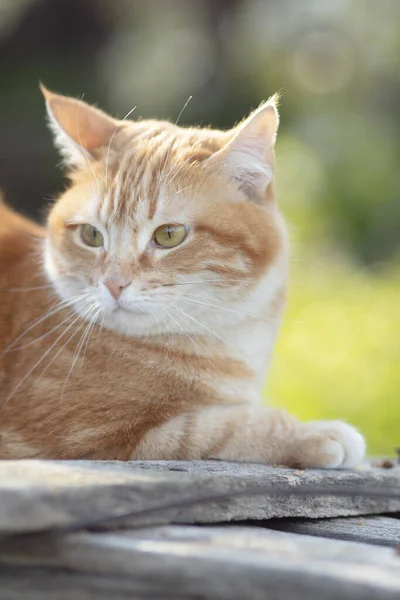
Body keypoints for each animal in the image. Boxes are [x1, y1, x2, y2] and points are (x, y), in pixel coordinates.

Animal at [0, 86, 366, 466]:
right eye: (92, 235)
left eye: (169, 235)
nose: (113, 284)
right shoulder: (78, 437)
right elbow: (215, 429)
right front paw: (312, 432)